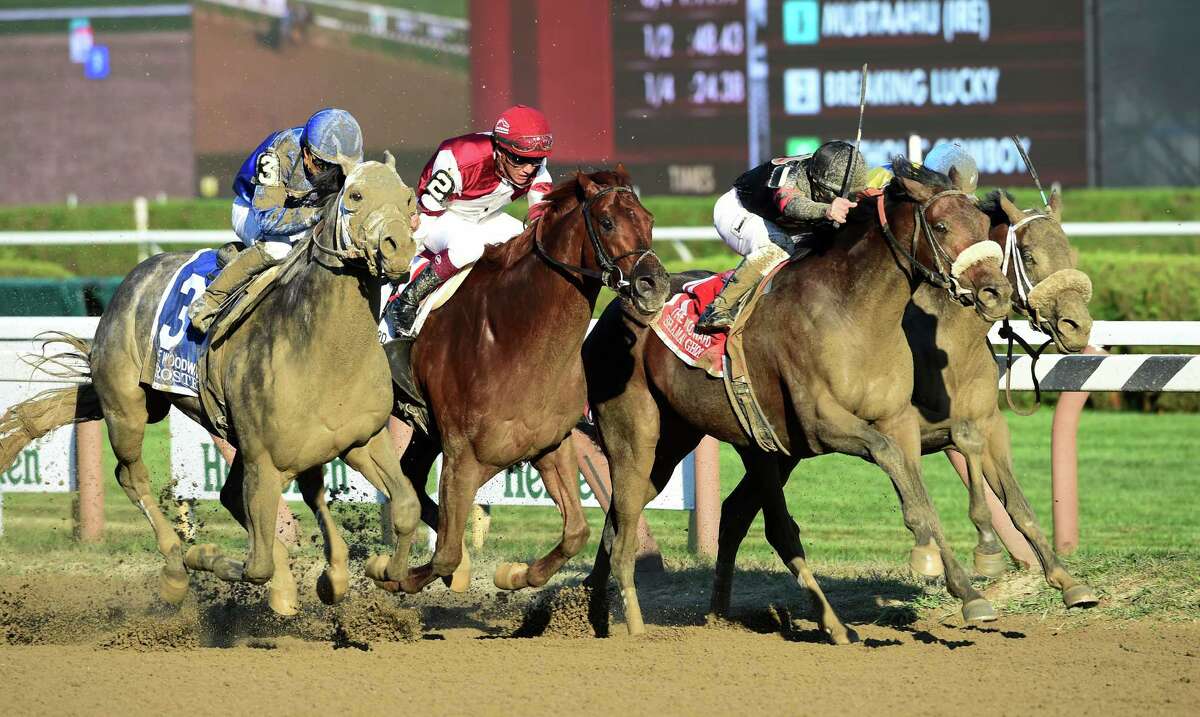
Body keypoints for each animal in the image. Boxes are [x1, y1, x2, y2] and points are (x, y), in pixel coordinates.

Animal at [0, 158, 417, 618]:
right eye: (356, 195)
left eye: (409, 198)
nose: (399, 248)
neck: (326, 350)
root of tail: (134, 278)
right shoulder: (265, 459)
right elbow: (256, 564)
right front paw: (203, 555)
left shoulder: (362, 440)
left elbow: (405, 507)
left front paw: (378, 570)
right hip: (127, 409)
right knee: (132, 476)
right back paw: (175, 570)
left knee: (233, 495)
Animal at [374, 166, 672, 594]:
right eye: (607, 221)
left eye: (648, 219)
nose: (655, 285)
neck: (512, 335)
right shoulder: (462, 454)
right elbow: (445, 554)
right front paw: (397, 575)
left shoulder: (549, 442)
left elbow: (576, 533)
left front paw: (517, 574)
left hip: (425, 429)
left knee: (411, 477)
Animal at [580, 161, 1012, 647]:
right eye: (940, 226)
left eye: (982, 225)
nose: (996, 291)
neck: (852, 310)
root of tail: (611, 312)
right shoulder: (822, 424)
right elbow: (887, 458)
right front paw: (926, 551)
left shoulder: (896, 419)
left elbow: (922, 488)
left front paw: (970, 590)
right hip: (636, 435)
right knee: (630, 518)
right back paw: (633, 626)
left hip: (682, 444)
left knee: (622, 519)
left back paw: (605, 613)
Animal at [705, 190, 1099, 623]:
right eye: (1028, 255)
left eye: (1068, 250)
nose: (1077, 325)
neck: (947, 341)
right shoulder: (906, 429)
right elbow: (928, 504)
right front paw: (972, 585)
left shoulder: (990, 424)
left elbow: (1017, 503)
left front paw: (1067, 581)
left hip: (780, 450)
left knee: (735, 511)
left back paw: (720, 609)